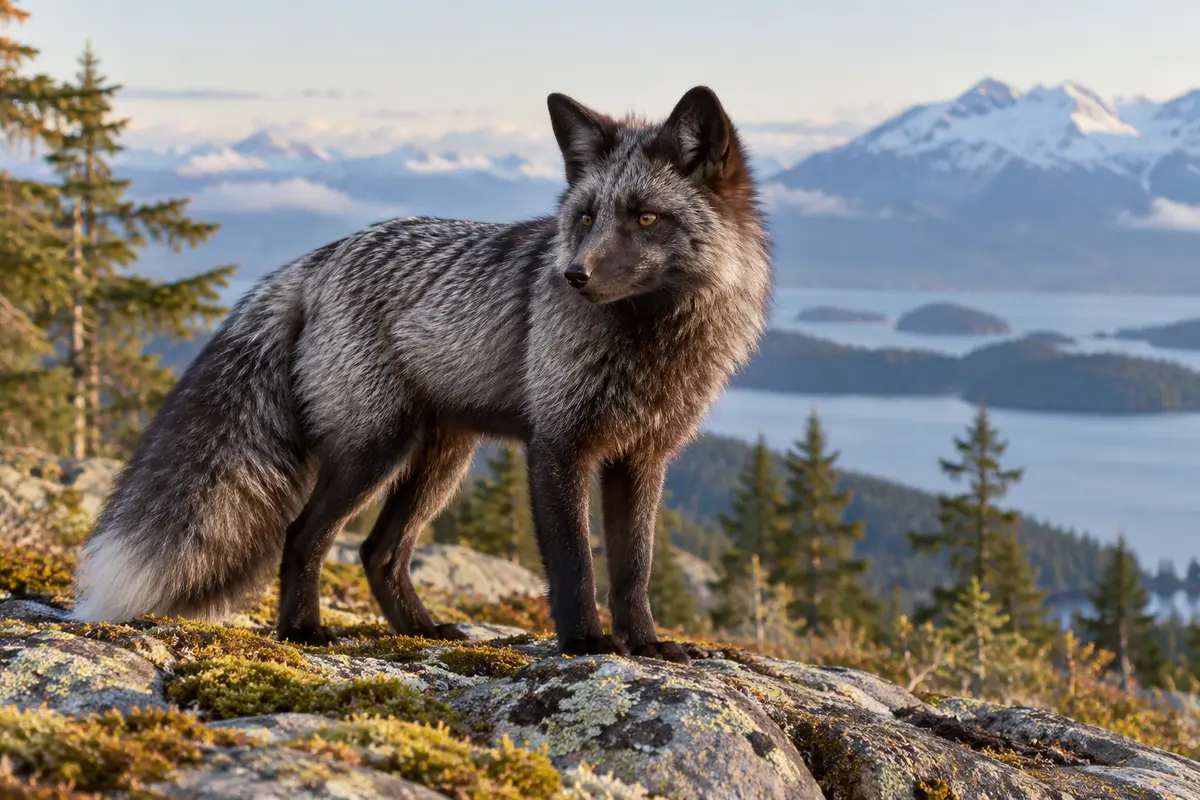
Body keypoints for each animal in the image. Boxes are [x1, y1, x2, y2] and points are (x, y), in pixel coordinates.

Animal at [71, 85, 772, 664]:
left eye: (647, 218)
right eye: (585, 218)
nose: (572, 275)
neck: (650, 346)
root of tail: (320, 258)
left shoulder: (643, 457)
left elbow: (634, 569)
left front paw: (645, 645)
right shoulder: (559, 445)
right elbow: (576, 565)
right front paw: (586, 645)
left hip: (439, 462)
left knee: (378, 553)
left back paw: (420, 630)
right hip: (375, 450)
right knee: (305, 536)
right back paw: (303, 631)